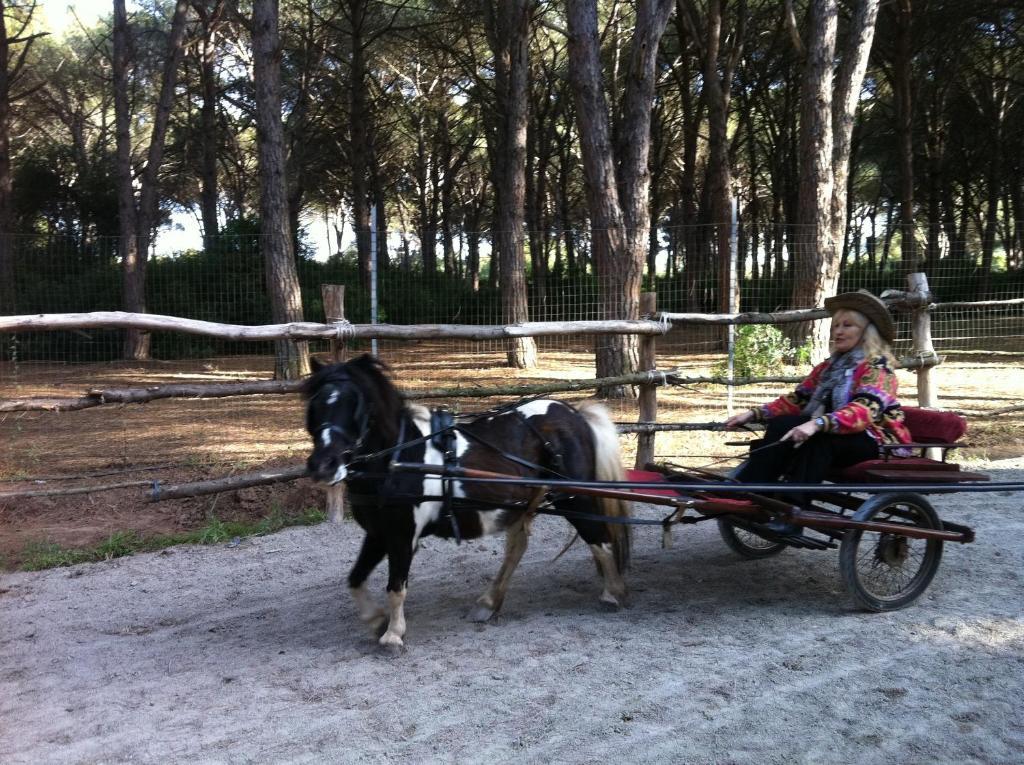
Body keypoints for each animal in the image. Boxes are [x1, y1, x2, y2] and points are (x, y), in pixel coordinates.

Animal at [301, 356, 630, 651]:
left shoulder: (403, 536)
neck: (397, 458)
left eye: (354, 405)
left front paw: (393, 634)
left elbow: (396, 587)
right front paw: (376, 620)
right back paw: (489, 602)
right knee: (518, 547)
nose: (323, 466)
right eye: (315, 406)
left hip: (573, 498)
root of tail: (574, 413)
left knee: (600, 539)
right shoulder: (378, 534)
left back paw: (613, 592)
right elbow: (355, 580)